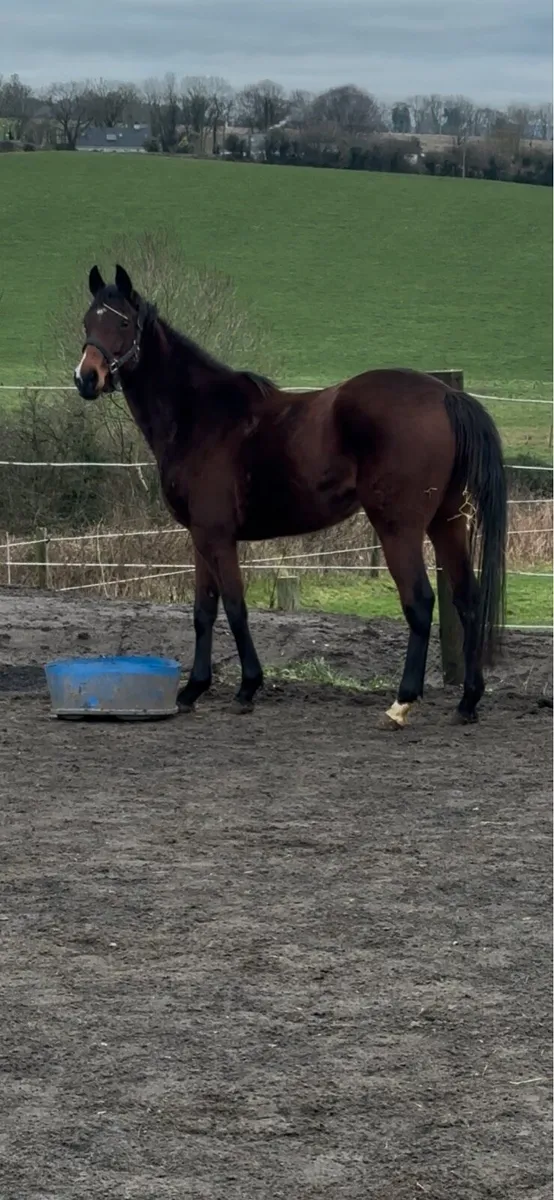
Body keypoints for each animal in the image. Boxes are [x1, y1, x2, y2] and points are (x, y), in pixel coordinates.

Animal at [74, 263, 507, 728]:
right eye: (87, 321)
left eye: (122, 322)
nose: (86, 378)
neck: (201, 416)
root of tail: (446, 395)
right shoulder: (200, 537)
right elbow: (203, 611)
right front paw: (193, 690)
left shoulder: (217, 536)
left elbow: (235, 606)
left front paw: (247, 687)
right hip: (448, 522)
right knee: (467, 598)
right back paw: (468, 701)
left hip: (399, 528)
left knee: (420, 602)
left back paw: (402, 702)